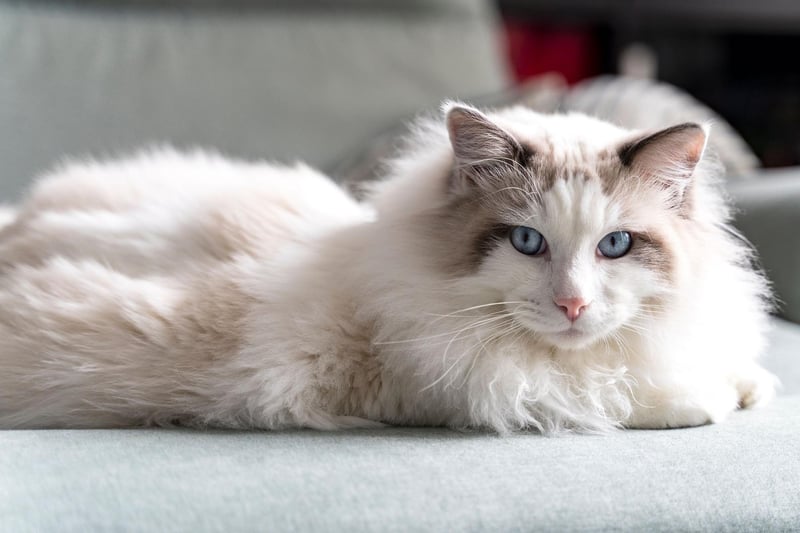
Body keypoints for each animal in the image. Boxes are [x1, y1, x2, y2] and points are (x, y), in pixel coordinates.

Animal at [0, 103, 780, 432]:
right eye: (527, 243)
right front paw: (711, 398)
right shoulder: (449, 386)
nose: (573, 307)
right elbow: (609, 394)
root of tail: (22, 221)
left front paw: (751, 384)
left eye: (613, 246)